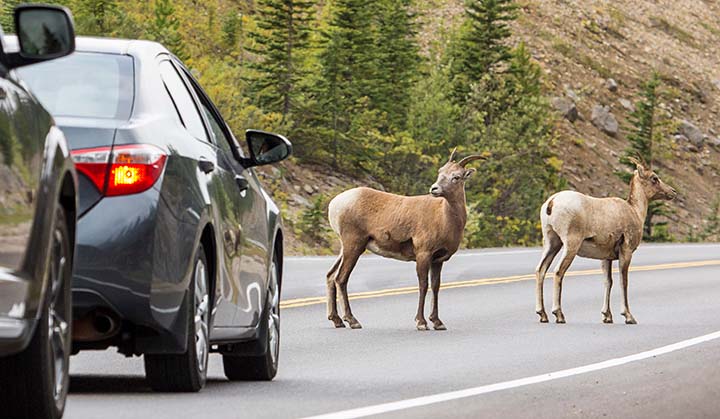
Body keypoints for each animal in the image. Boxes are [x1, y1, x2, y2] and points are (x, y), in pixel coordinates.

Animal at [325, 149, 486, 330]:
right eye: (440, 172)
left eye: (456, 176)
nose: (434, 189)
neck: (445, 218)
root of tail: (334, 204)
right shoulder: (423, 254)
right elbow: (423, 285)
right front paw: (421, 323)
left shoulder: (438, 260)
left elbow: (436, 286)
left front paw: (438, 322)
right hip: (354, 245)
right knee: (341, 278)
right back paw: (352, 321)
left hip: (345, 248)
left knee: (330, 276)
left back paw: (337, 320)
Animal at [535, 158, 677, 324]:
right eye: (654, 178)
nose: (673, 192)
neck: (635, 211)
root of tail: (551, 203)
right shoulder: (626, 251)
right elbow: (623, 281)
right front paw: (629, 316)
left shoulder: (605, 257)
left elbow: (608, 282)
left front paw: (607, 316)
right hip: (570, 244)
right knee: (558, 271)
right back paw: (559, 315)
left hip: (551, 242)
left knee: (540, 270)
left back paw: (542, 314)